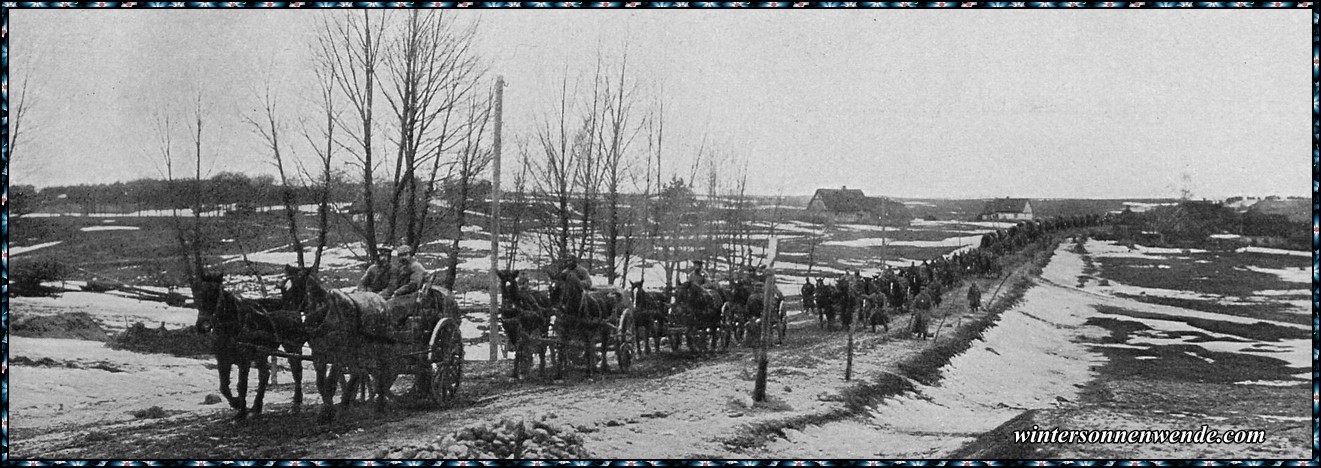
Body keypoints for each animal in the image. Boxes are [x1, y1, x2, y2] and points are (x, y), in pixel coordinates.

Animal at [191, 272, 306, 423]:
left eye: (216, 294)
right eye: (198, 295)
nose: (202, 326)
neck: (233, 328)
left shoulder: (244, 360)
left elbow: (242, 386)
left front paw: (241, 411)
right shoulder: (222, 360)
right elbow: (224, 387)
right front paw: (237, 404)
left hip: (291, 347)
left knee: (296, 371)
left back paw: (296, 403)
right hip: (262, 353)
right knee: (264, 375)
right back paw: (256, 408)